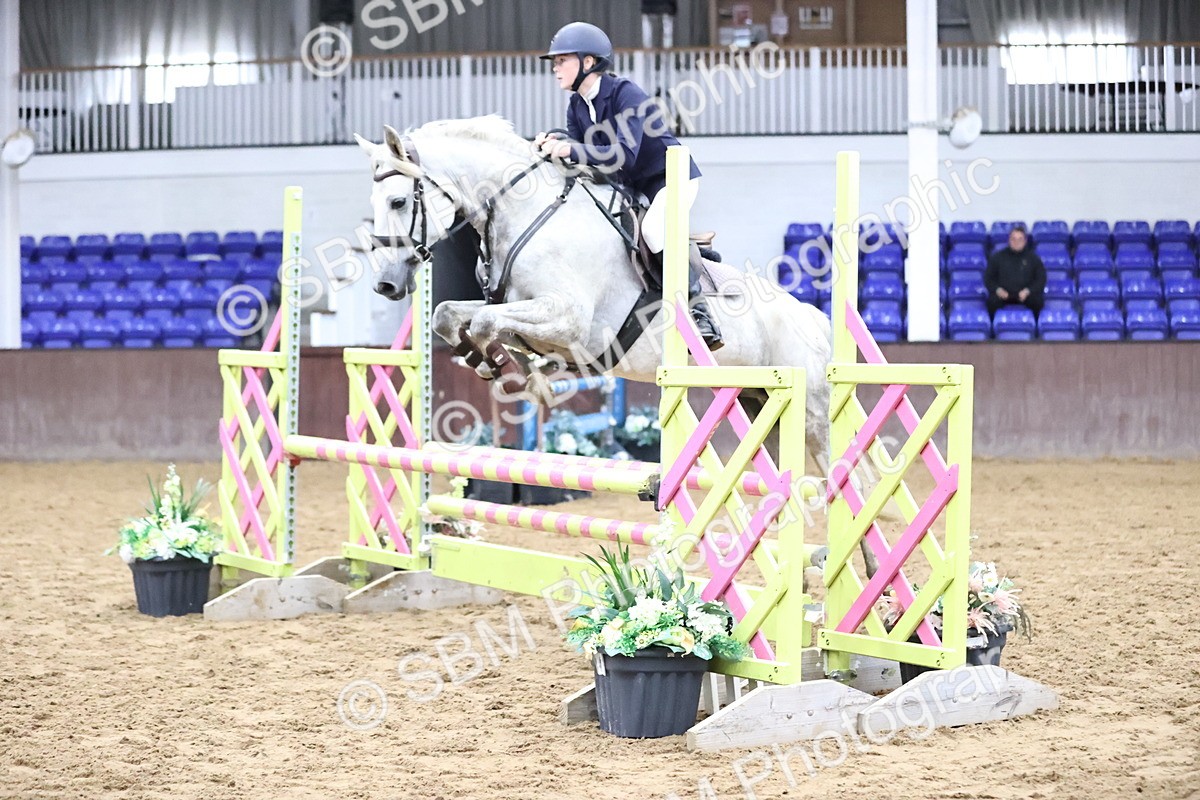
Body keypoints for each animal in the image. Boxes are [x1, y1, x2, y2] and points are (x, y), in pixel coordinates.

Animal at [353, 115, 834, 469]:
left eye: (398, 202)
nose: (386, 283)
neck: (525, 212)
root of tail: (810, 315)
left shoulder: (569, 319)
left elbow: (489, 323)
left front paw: (522, 378)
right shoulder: (518, 306)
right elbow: (449, 315)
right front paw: (486, 361)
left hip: (810, 412)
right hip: (760, 405)